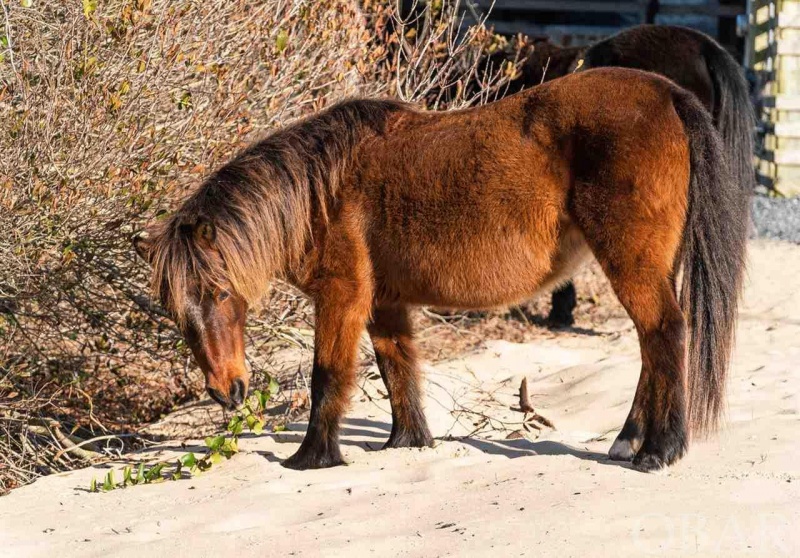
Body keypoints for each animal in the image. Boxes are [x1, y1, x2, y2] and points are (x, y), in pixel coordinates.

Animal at [133, 68, 752, 474]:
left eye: (219, 294)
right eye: (176, 311)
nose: (226, 391)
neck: (321, 191)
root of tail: (667, 93)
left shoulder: (342, 296)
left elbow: (327, 375)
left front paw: (311, 459)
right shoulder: (383, 302)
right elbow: (398, 369)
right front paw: (408, 443)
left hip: (631, 263)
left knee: (665, 334)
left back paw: (659, 451)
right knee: (652, 345)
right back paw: (629, 441)